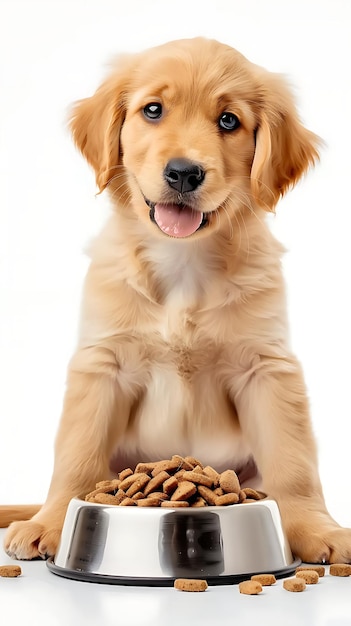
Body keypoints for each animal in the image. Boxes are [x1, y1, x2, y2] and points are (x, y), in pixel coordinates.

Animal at [3, 37, 351, 560]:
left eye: (228, 120)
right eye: (153, 110)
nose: (185, 173)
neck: (184, 263)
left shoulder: (267, 368)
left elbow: (294, 464)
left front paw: (316, 528)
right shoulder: (102, 364)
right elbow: (77, 453)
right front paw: (52, 522)